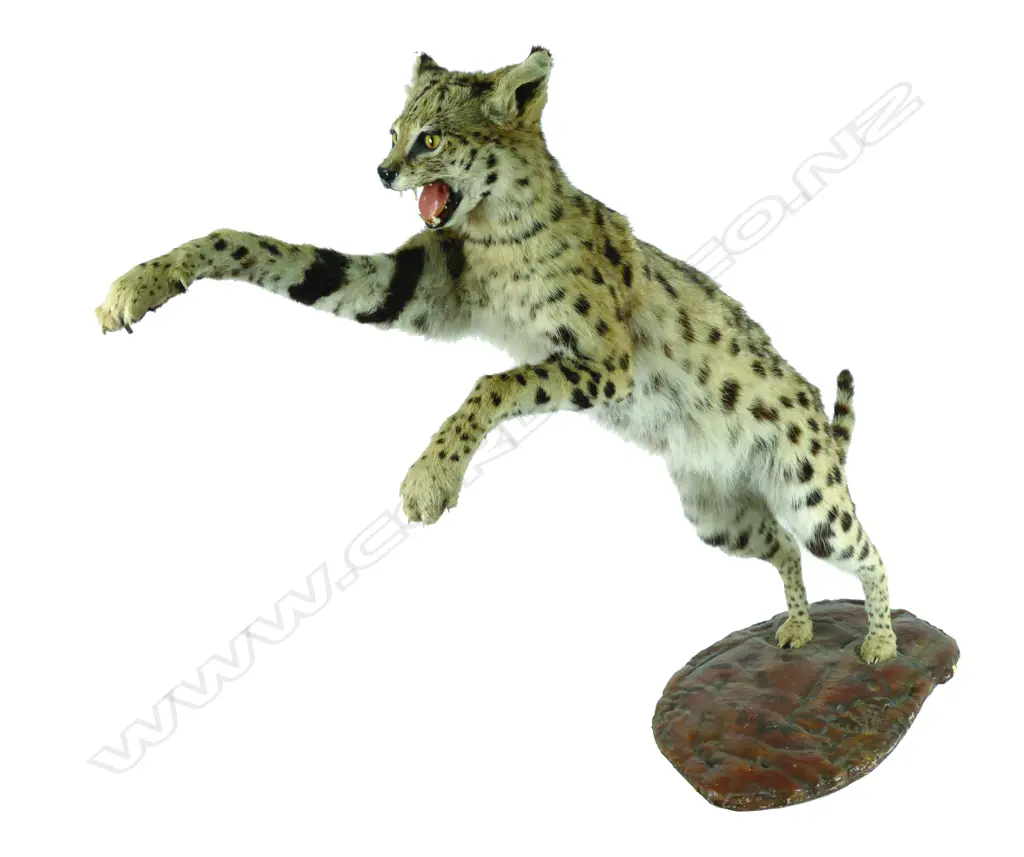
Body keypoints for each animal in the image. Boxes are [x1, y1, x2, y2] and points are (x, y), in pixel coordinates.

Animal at [95, 47, 899, 663]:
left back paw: (881, 645)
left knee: (869, 550)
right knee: (785, 549)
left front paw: (430, 479)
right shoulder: (409, 288)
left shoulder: (606, 363)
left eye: (431, 139)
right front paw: (143, 282)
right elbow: (257, 246)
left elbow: (494, 381)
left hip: (811, 493)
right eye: (393, 129)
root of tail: (816, 421)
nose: (381, 171)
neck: (495, 230)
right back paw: (796, 627)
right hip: (717, 516)